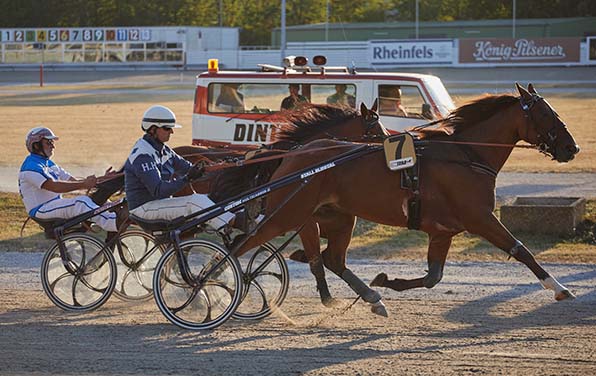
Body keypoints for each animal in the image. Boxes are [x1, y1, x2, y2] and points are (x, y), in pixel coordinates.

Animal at [234, 83, 584, 316]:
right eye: (545, 113)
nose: (573, 148)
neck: (466, 155)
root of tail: (293, 154)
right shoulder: (479, 217)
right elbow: (521, 250)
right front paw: (559, 288)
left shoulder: (443, 231)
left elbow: (433, 277)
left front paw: (387, 281)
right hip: (290, 214)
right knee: (244, 245)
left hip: (338, 216)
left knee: (331, 258)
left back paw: (372, 298)